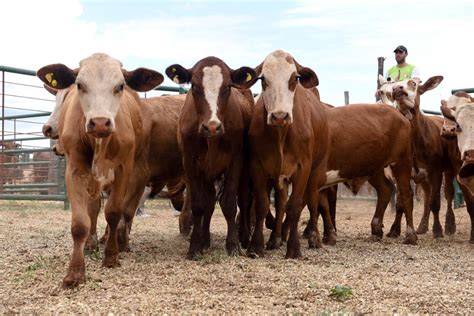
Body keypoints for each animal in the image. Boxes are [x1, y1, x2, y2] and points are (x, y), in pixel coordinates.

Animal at [36, 53, 165, 288]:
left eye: (120, 85)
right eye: (80, 85)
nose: (100, 122)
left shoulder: (124, 170)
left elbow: (114, 212)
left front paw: (111, 256)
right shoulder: (75, 170)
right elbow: (81, 221)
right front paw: (75, 272)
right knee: (94, 209)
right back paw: (92, 243)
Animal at [167, 56, 256, 260]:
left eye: (227, 87)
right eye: (194, 86)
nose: (212, 126)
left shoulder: (235, 162)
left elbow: (229, 203)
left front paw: (233, 245)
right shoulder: (190, 164)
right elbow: (199, 205)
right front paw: (195, 246)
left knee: (244, 201)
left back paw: (244, 237)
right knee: (208, 203)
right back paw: (205, 239)